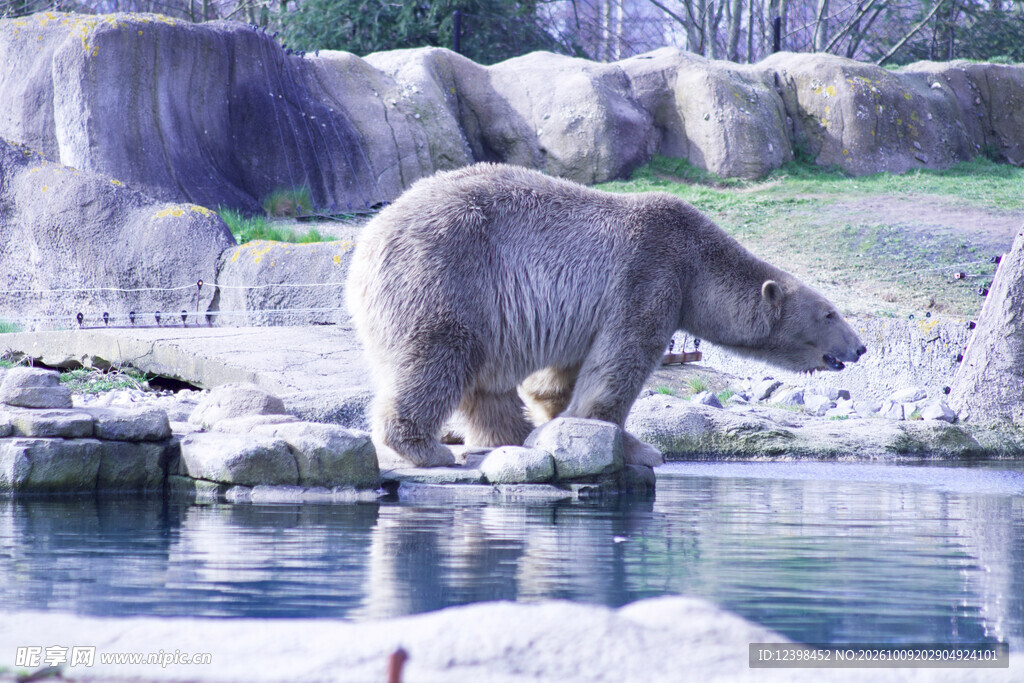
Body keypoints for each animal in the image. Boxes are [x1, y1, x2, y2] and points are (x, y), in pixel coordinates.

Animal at [346, 163, 866, 467]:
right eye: (830, 314)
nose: (860, 347)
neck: (698, 262)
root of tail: (365, 244)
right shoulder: (650, 272)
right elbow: (618, 366)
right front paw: (640, 448)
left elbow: (557, 380)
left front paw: (554, 426)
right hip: (447, 270)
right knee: (439, 354)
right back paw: (426, 447)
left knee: (484, 385)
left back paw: (511, 437)